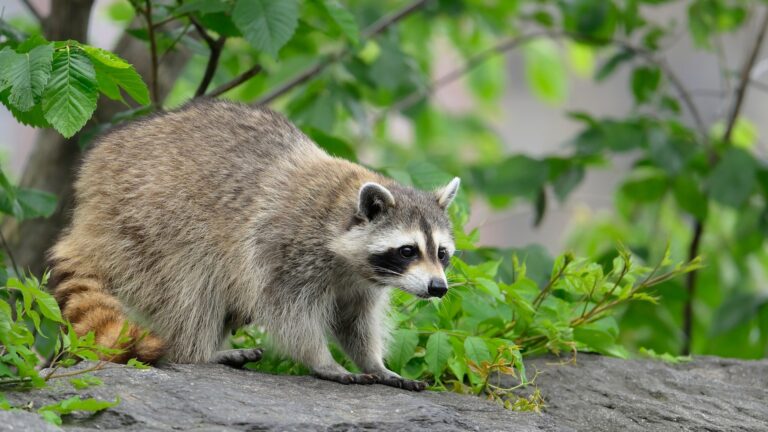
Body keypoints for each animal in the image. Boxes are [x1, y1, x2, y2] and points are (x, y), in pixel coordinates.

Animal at [49, 99, 459, 391]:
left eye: (442, 254)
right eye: (408, 250)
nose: (438, 288)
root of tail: (89, 200)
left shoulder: (359, 283)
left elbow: (355, 322)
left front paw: (375, 362)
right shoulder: (282, 247)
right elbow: (289, 315)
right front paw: (322, 361)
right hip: (146, 224)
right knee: (190, 286)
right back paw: (198, 352)